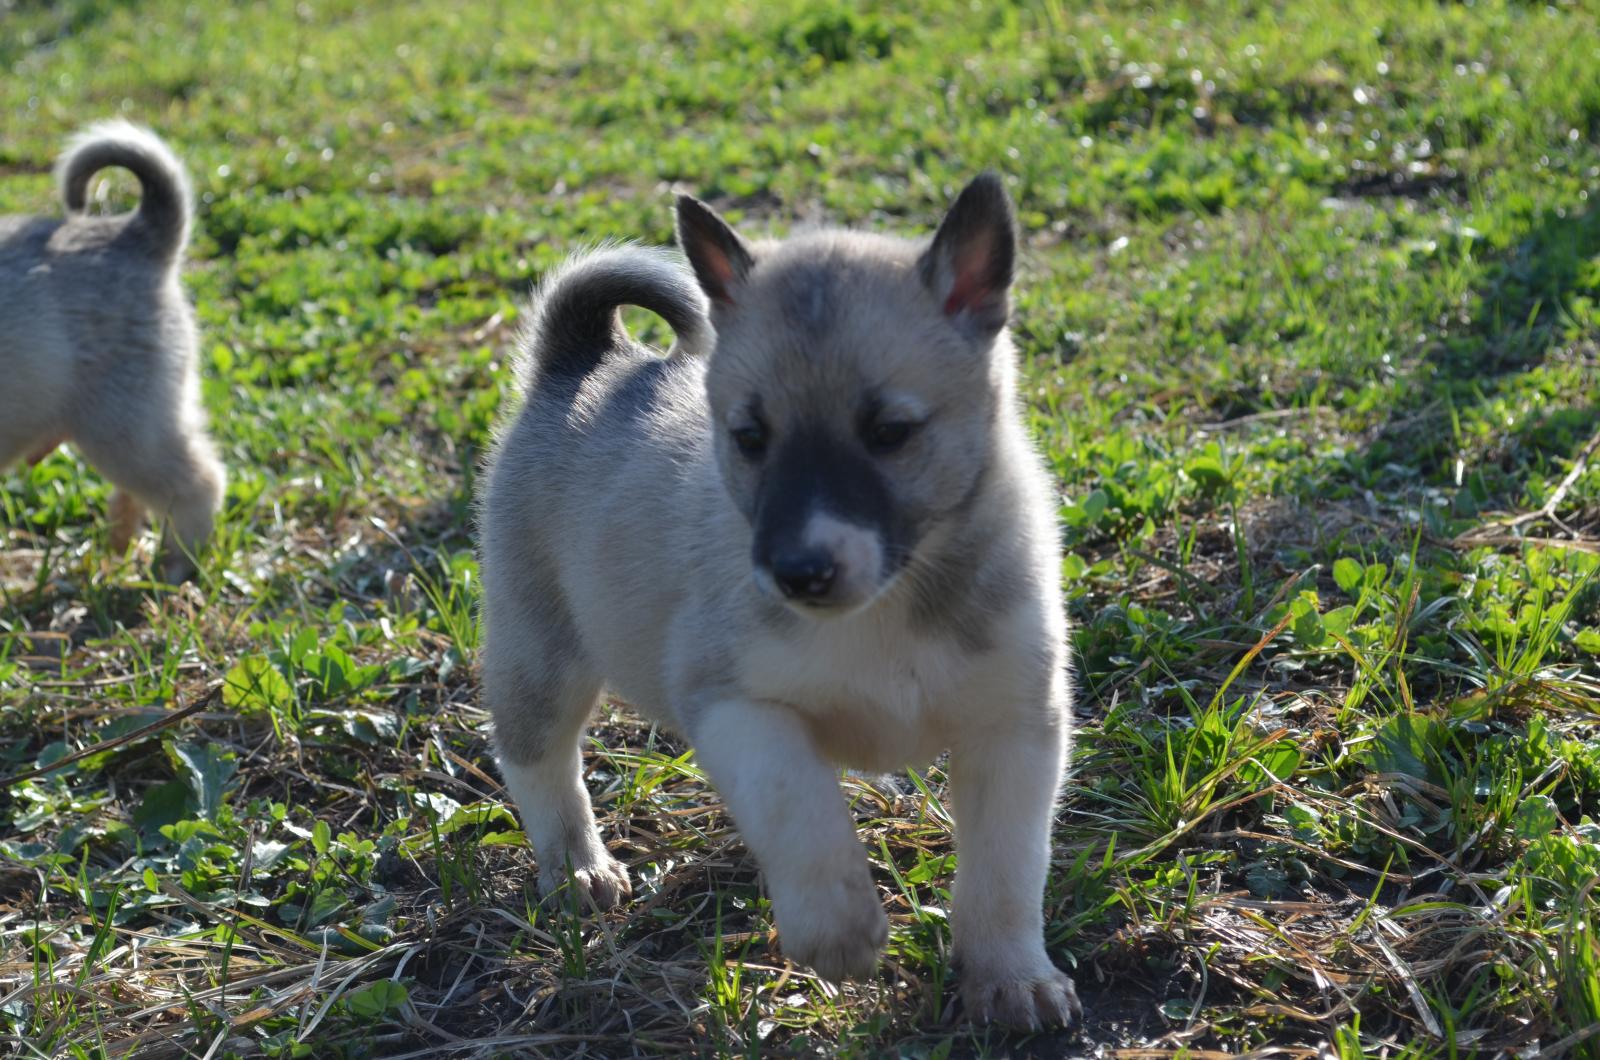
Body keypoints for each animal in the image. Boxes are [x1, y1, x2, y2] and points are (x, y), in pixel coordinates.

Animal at [473, 174, 1075, 1031]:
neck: (887, 609)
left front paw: (1012, 978)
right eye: (750, 437)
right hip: (540, 655)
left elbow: (1006, 871)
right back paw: (580, 868)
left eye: (891, 432)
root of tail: (589, 362)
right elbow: (800, 805)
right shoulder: (736, 706)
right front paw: (839, 932)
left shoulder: (1017, 730)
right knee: (539, 761)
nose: (798, 574)